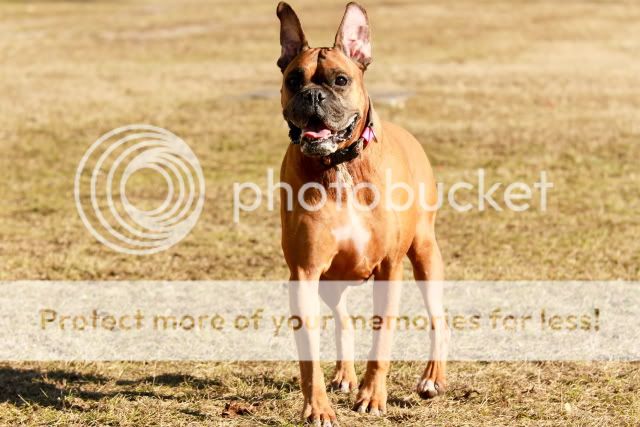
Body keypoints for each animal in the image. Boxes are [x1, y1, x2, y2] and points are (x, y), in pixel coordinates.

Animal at [277, 2, 449, 425]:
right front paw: (318, 408)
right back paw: (343, 375)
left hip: (425, 255)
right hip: (329, 282)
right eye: (293, 79)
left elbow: (382, 335)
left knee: (438, 318)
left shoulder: (389, 269)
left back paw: (432, 378)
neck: (339, 164)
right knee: (343, 321)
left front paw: (373, 396)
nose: (313, 95)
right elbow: (309, 355)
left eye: (340, 80)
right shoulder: (304, 274)